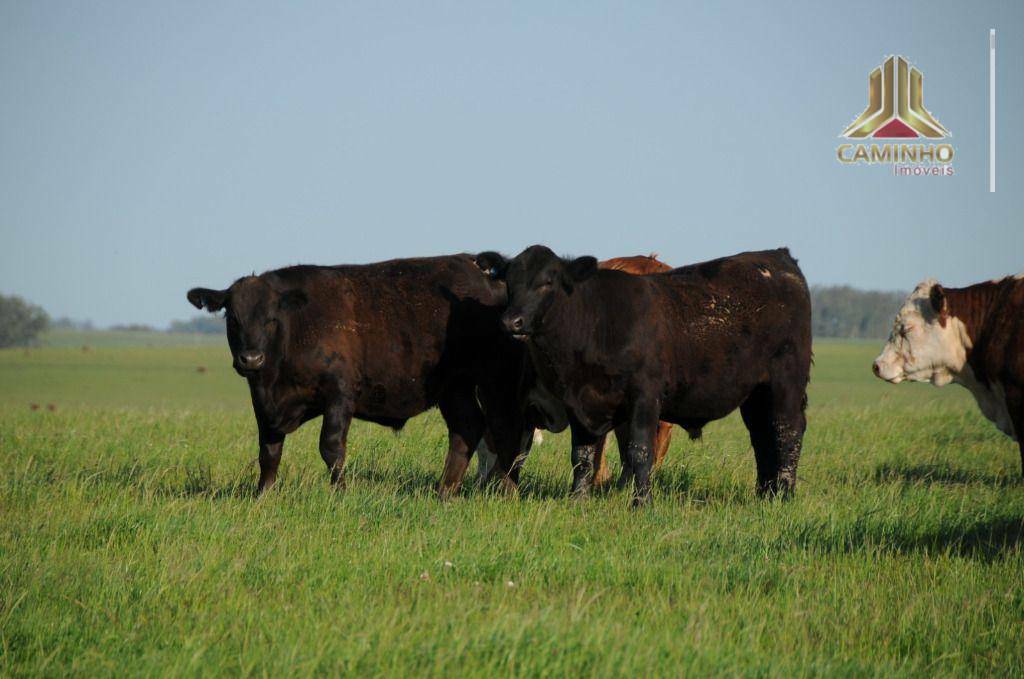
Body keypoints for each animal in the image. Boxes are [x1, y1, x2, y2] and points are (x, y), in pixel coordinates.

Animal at [186, 258, 528, 497]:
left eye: (271, 319)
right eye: (232, 318)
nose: (251, 358)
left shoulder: (339, 393)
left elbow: (331, 447)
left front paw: (340, 493)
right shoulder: (264, 405)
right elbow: (268, 453)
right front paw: (263, 496)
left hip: (494, 381)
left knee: (506, 432)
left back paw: (503, 490)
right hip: (454, 387)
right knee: (467, 428)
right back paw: (445, 491)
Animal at [475, 244, 811, 503]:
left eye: (548, 282)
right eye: (509, 282)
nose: (512, 321)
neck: (597, 320)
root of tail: (778, 257)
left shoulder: (645, 397)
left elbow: (639, 451)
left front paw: (641, 502)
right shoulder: (579, 402)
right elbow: (582, 456)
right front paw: (577, 500)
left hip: (786, 381)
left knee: (787, 431)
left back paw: (784, 494)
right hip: (755, 393)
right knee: (761, 435)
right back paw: (765, 493)